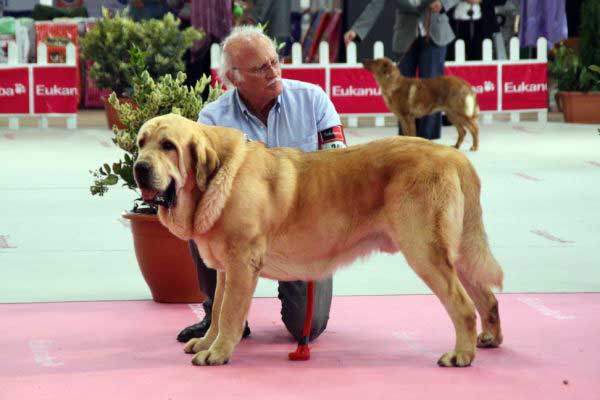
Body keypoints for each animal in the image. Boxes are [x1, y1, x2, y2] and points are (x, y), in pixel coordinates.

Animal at [134, 114, 504, 368]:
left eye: (168, 146)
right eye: (141, 143)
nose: (139, 167)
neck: (214, 177)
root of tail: (455, 157)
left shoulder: (240, 265)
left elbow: (229, 314)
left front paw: (218, 353)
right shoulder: (226, 269)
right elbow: (218, 308)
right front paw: (206, 343)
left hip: (425, 251)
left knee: (462, 305)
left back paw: (461, 355)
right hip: (457, 252)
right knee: (486, 298)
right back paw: (489, 338)